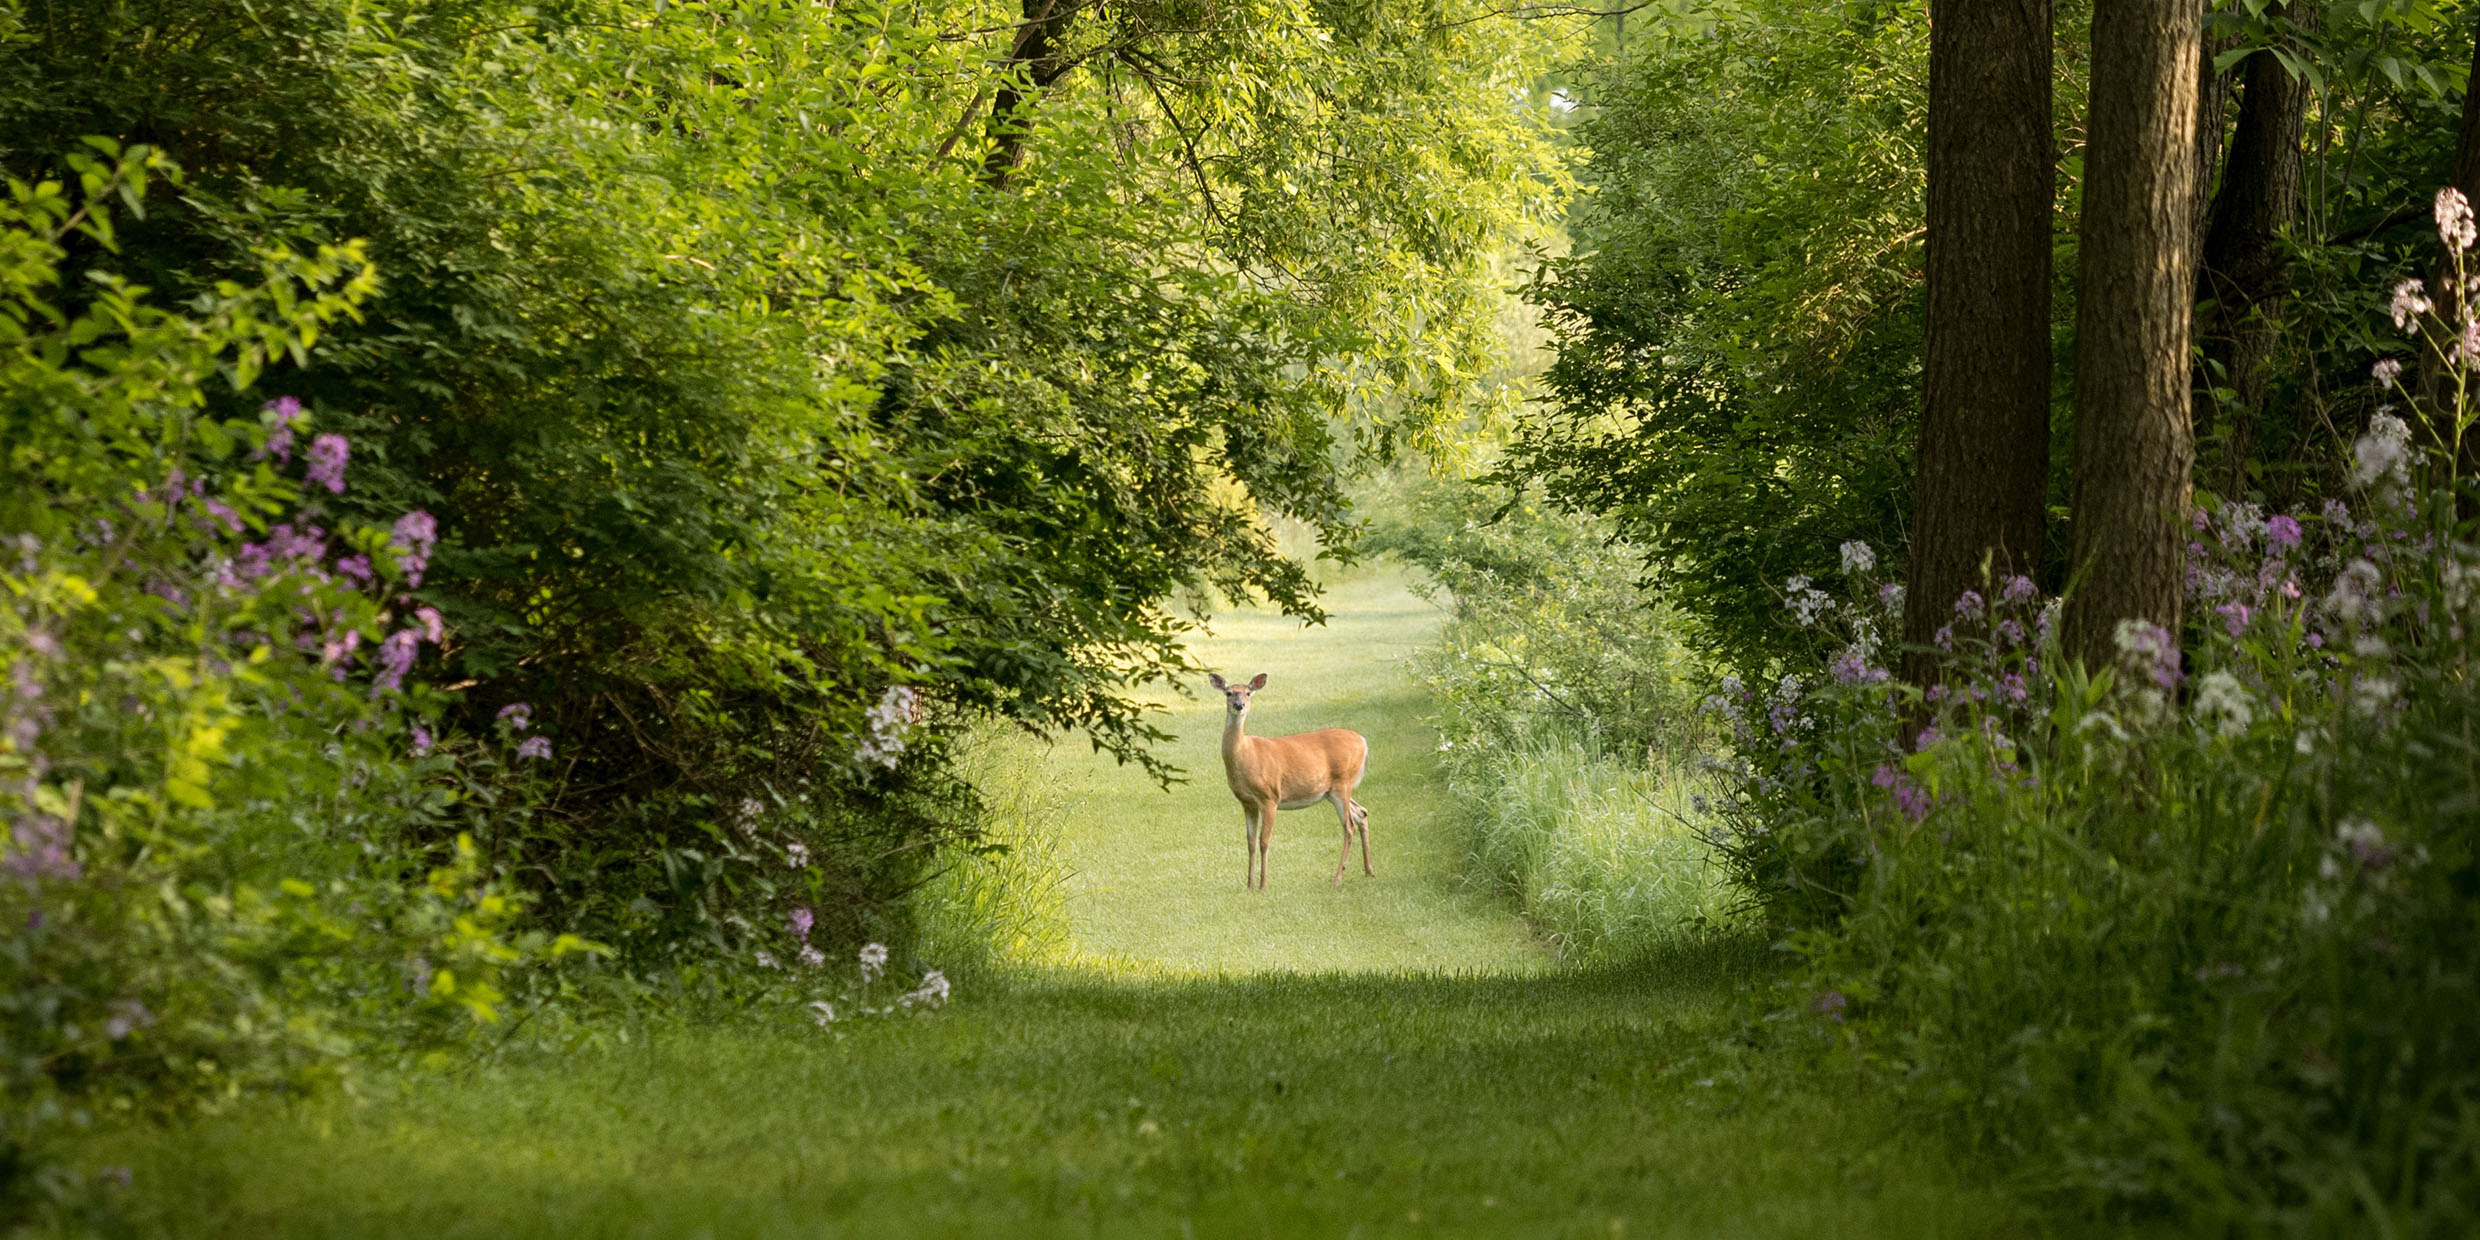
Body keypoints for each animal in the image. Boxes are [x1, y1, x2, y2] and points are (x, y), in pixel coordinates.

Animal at [1205, 669, 1368, 892]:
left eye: (1248, 693)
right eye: (1228, 693)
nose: (1239, 705)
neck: (1245, 755)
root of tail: (1363, 741)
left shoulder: (1269, 796)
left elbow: (1264, 841)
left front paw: (1263, 885)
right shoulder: (1247, 802)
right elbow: (1250, 842)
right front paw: (1249, 885)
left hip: (1342, 783)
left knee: (1349, 827)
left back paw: (1337, 879)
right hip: (1332, 790)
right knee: (1362, 813)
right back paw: (1369, 871)